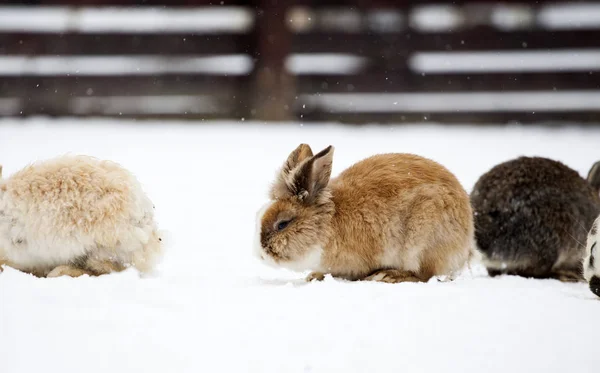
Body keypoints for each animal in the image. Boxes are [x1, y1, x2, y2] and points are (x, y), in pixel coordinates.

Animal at [254, 143, 478, 282]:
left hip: (422, 242)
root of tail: (466, 244)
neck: (327, 224)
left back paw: (388, 276)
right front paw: (314, 276)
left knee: (425, 275)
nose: (260, 253)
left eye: (282, 224)